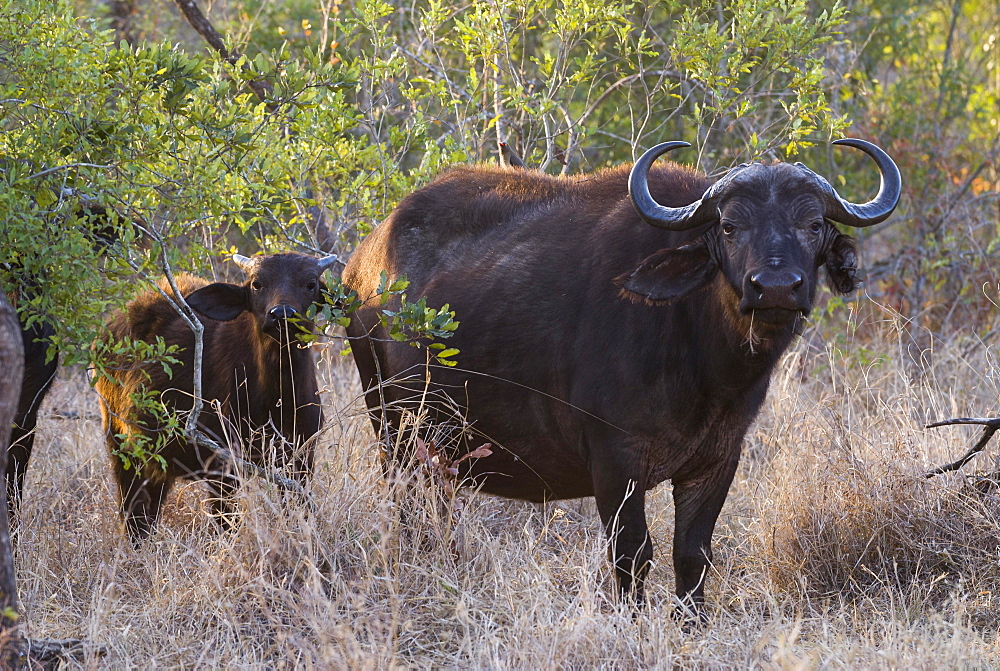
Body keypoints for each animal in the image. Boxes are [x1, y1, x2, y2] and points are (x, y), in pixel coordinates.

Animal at [95, 252, 336, 540]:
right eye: (257, 283)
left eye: (311, 284)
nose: (282, 314)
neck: (277, 396)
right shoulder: (220, 464)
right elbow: (227, 521)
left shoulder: (301, 457)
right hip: (122, 446)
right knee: (133, 512)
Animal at [344, 139, 900, 616]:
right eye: (729, 226)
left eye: (813, 223)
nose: (777, 287)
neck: (701, 362)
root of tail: (361, 266)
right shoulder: (615, 461)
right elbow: (633, 553)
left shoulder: (719, 458)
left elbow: (693, 553)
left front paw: (690, 624)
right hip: (394, 433)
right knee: (411, 514)